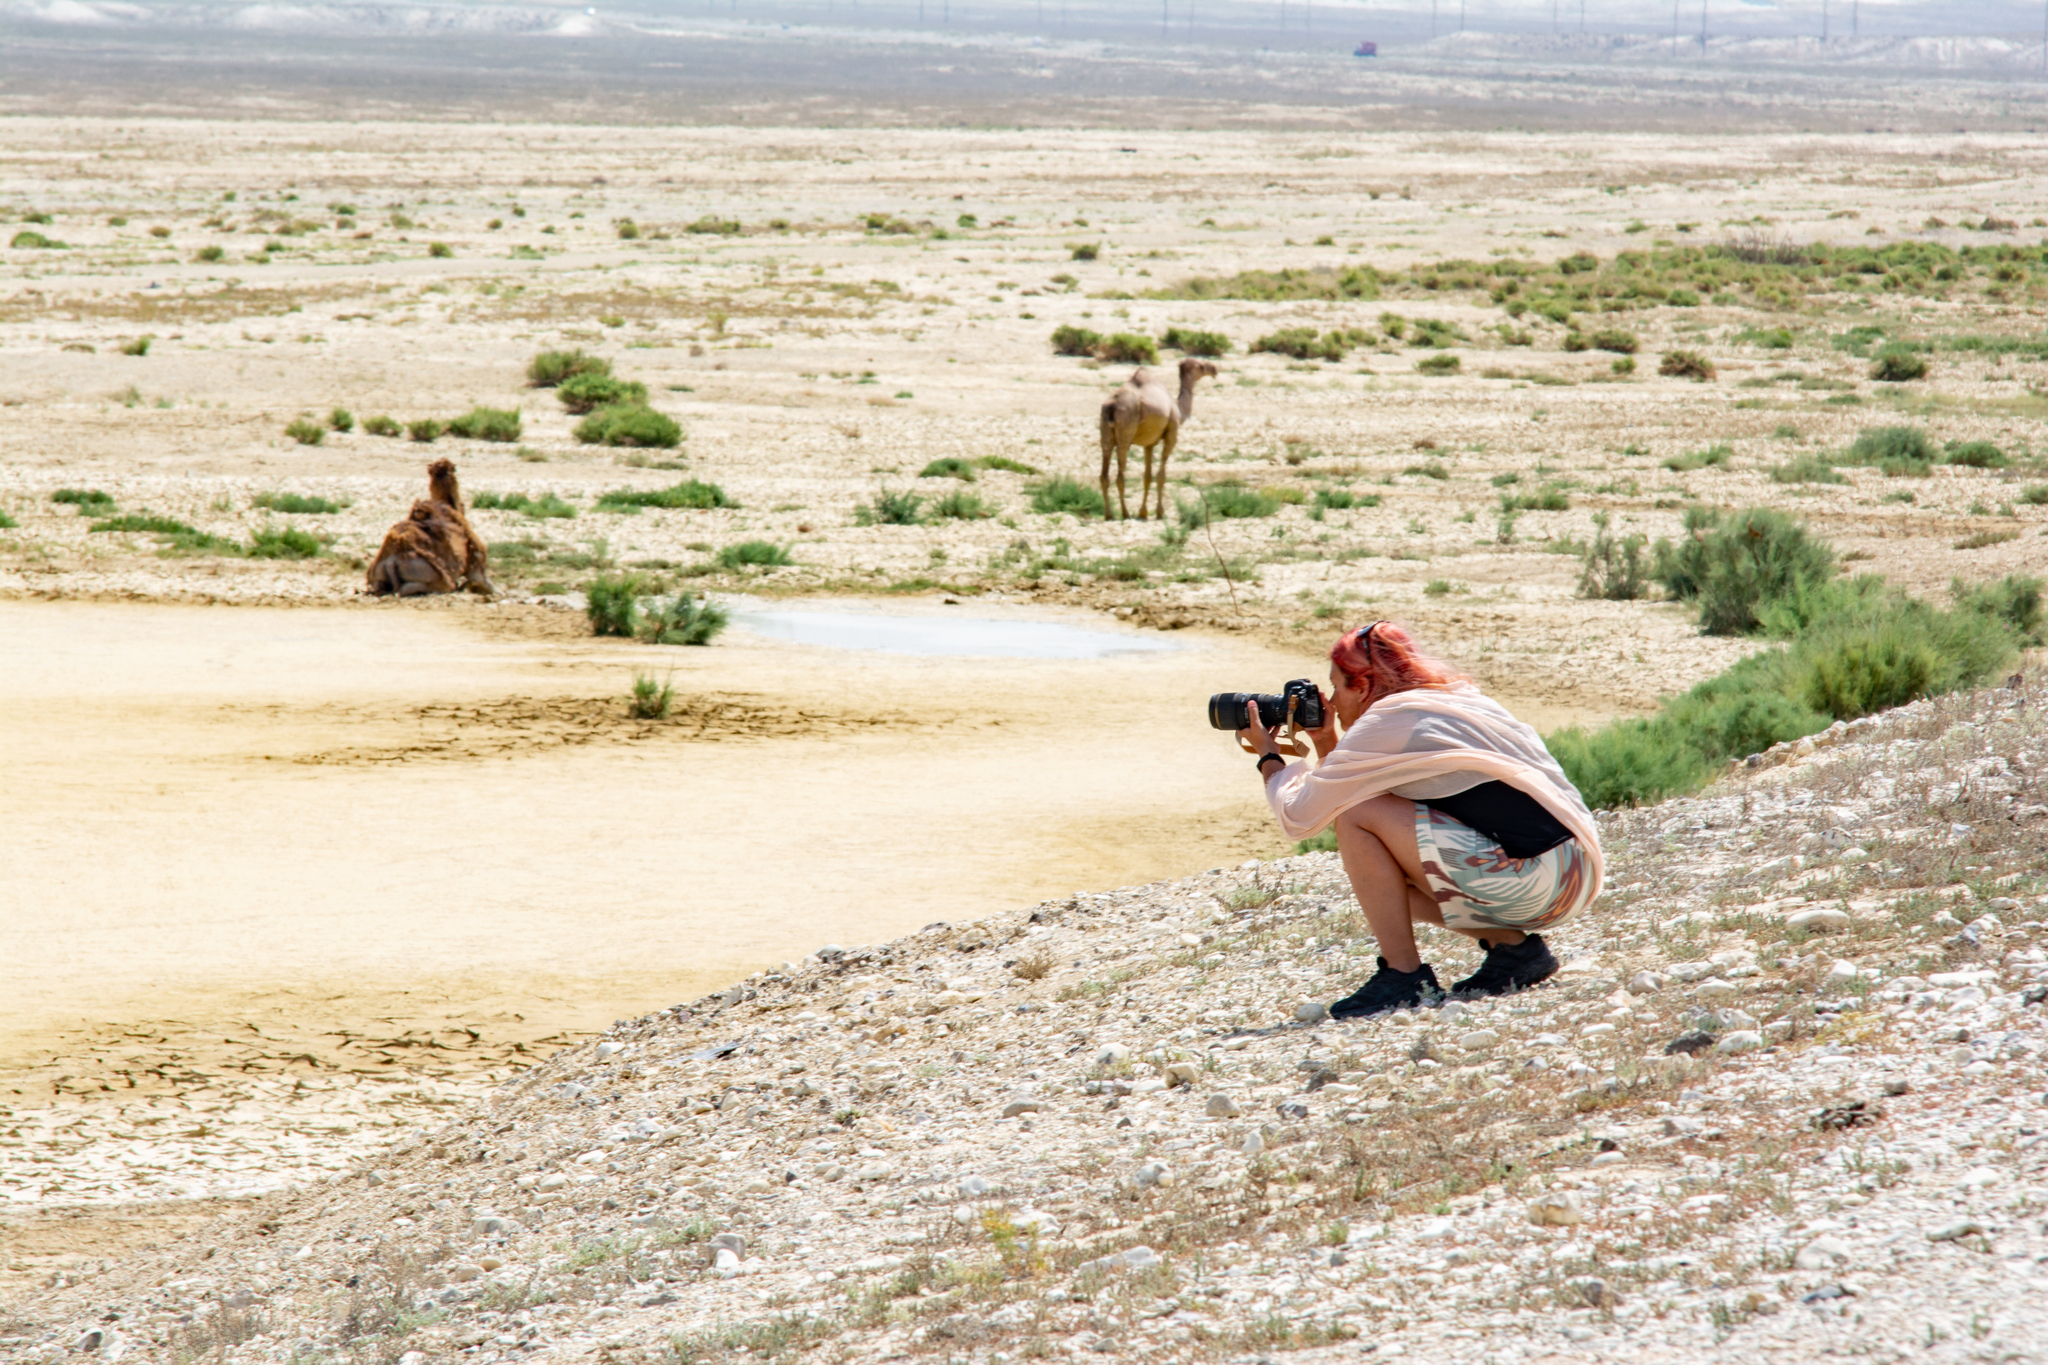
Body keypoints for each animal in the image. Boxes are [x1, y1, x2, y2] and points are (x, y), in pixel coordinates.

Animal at [1105, 356, 1212, 519]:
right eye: (1200, 365)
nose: (1213, 369)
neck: (1179, 408)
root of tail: (1113, 403)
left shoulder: (1149, 444)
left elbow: (1147, 477)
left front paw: (1143, 512)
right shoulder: (1171, 435)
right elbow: (1161, 476)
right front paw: (1160, 512)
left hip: (1105, 430)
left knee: (1104, 472)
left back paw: (1109, 514)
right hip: (1125, 431)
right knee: (1120, 475)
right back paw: (1125, 513)